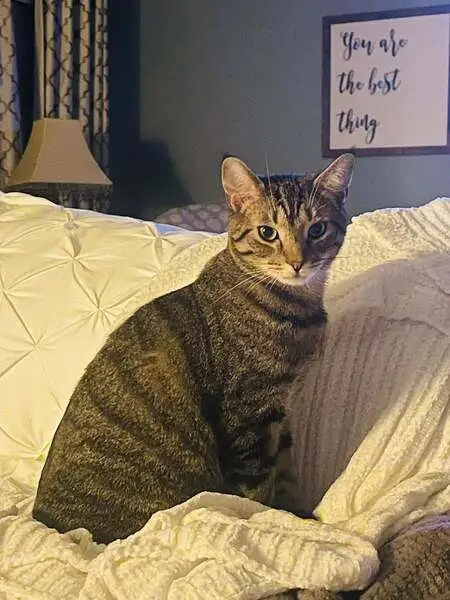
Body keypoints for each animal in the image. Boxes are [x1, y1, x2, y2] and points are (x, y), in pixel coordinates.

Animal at [32, 153, 354, 544]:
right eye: (267, 232)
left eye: (318, 229)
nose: (297, 262)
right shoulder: (247, 416)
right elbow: (258, 490)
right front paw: (273, 518)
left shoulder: (281, 412)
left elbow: (287, 474)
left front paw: (299, 514)